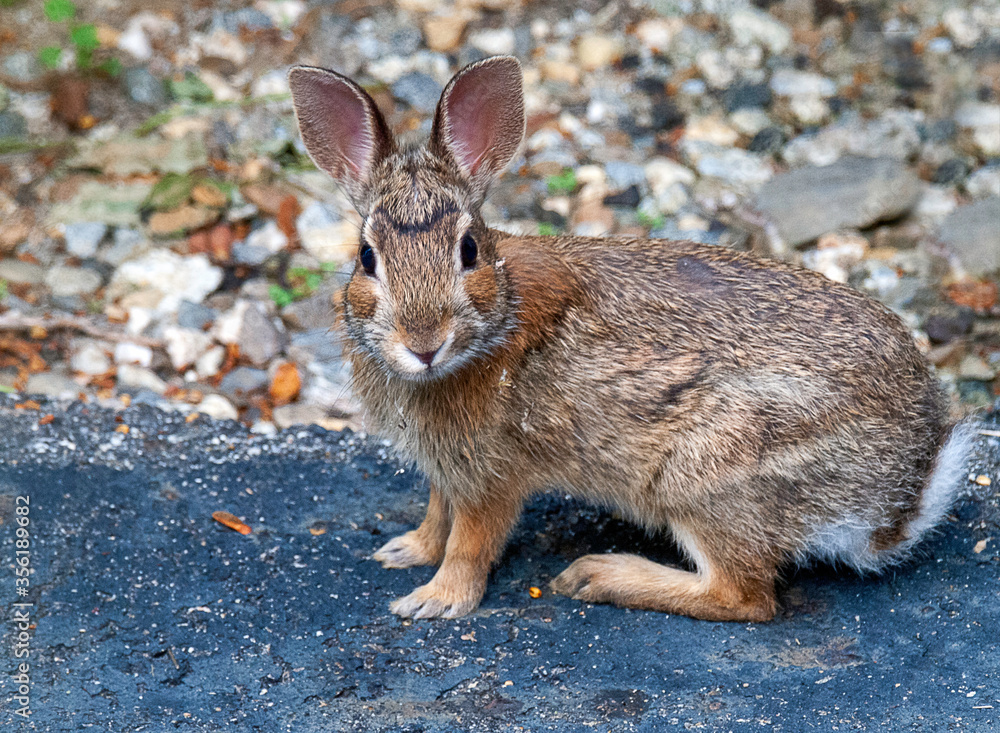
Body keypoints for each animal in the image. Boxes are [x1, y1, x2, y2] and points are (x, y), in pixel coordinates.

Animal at [288, 56, 975, 622]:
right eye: (366, 259)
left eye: (470, 250)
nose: (424, 342)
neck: (495, 321)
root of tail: (903, 491)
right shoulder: (445, 470)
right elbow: (437, 514)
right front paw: (405, 551)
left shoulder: (493, 475)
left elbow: (470, 541)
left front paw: (435, 601)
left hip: (706, 475)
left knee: (744, 596)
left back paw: (599, 575)